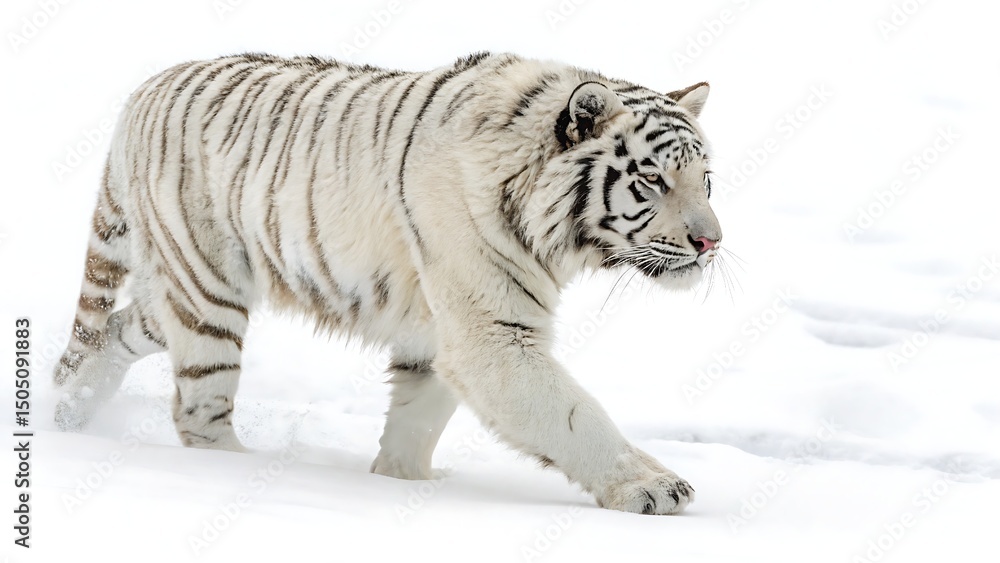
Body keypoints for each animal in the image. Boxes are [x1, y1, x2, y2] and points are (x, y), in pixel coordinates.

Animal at [53, 51, 723, 516]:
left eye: (706, 180)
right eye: (654, 180)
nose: (711, 243)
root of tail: (142, 92)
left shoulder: (438, 329)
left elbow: (416, 419)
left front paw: (403, 485)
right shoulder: (492, 333)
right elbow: (574, 415)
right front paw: (656, 488)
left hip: (179, 289)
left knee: (114, 329)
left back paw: (68, 409)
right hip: (208, 288)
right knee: (198, 406)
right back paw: (235, 470)